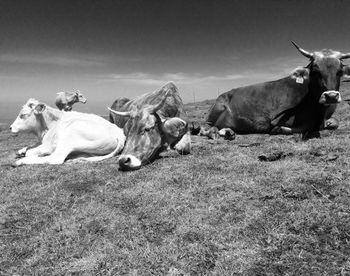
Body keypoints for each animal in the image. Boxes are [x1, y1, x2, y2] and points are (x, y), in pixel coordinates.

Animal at [206, 42, 348, 139]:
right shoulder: (276, 120)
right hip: (217, 108)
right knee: (207, 126)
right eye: (316, 71)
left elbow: (335, 122)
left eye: (340, 71)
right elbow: (304, 126)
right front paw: (278, 130)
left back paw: (228, 132)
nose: (331, 96)